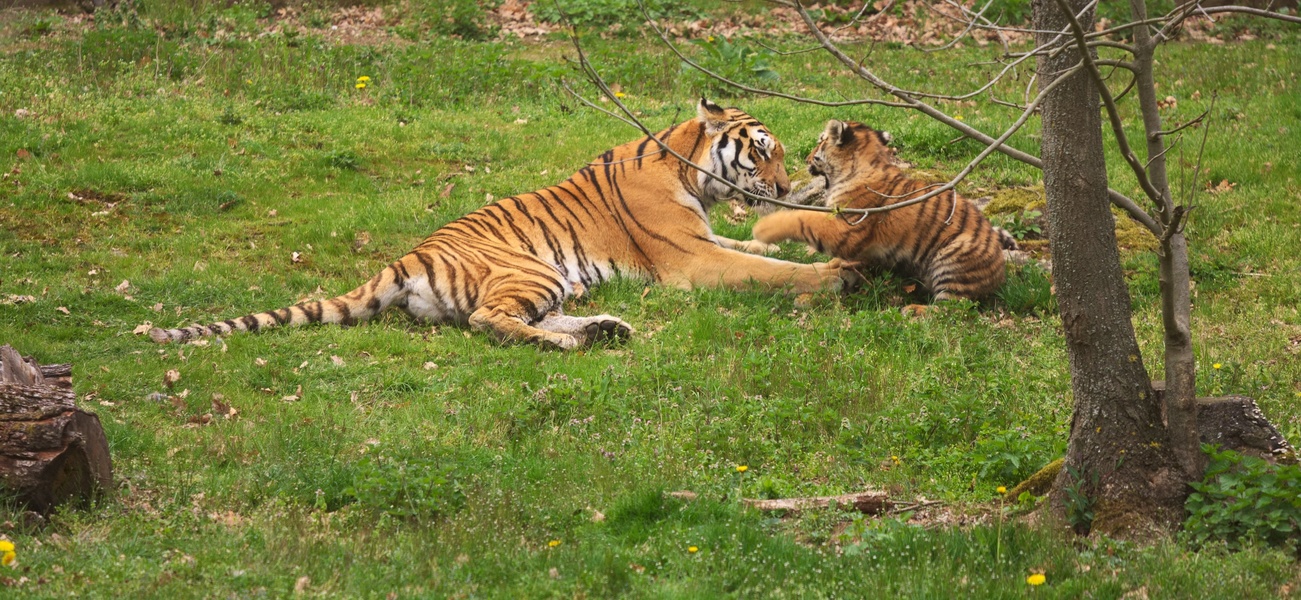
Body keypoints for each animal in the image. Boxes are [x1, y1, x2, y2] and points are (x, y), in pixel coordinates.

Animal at [149, 99, 853, 349]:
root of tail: (402, 260)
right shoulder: (691, 257)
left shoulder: (706, 239)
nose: (785, 189)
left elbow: (756, 251)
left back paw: (604, 329)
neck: (692, 175)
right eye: (762, 152)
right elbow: (761, 269)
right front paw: (832, 277)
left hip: (553, 279)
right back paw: (574, 343)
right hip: (532, 267)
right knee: (492, 321)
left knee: (527, 317)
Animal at [750, 120, 1015, 311]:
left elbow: (803, 218)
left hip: (952, 258)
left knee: (953, 309)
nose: (806, 159)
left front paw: (764, 228)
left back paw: (914, 311)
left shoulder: (848, 228)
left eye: (820, 143)